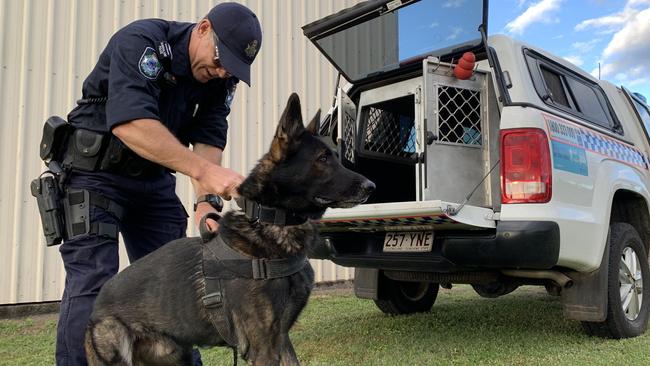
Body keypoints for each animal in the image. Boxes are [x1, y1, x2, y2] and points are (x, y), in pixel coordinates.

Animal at [85, 93, 374, 364]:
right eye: (323, 158)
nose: (371, 186)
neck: (270, 222)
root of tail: (96, 305)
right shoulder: (263, 347)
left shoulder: (281, 339)